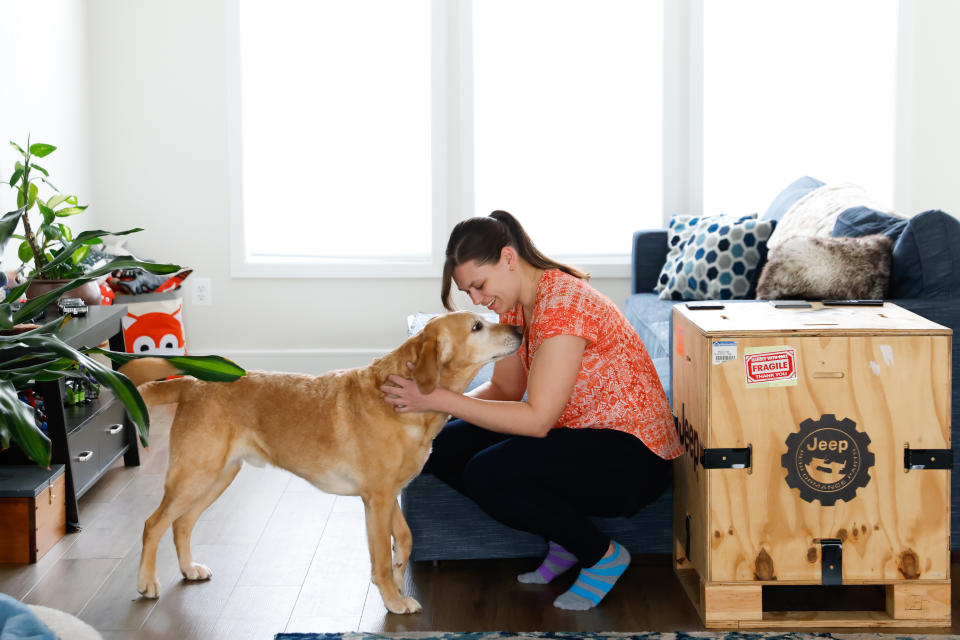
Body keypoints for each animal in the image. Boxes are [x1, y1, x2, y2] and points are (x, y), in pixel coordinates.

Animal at [122, 312, 524, 612]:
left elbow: (406, 537)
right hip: (194, 475)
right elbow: (379, 558)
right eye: (477, 326)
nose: (520, 329)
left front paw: (399, 573)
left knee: (181, 523)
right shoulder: (377, 499)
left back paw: (188, 568)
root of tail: (192, 382)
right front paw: (393, 599)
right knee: (153, 523)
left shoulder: (386, 495)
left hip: (218, 476)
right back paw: (146, 582)